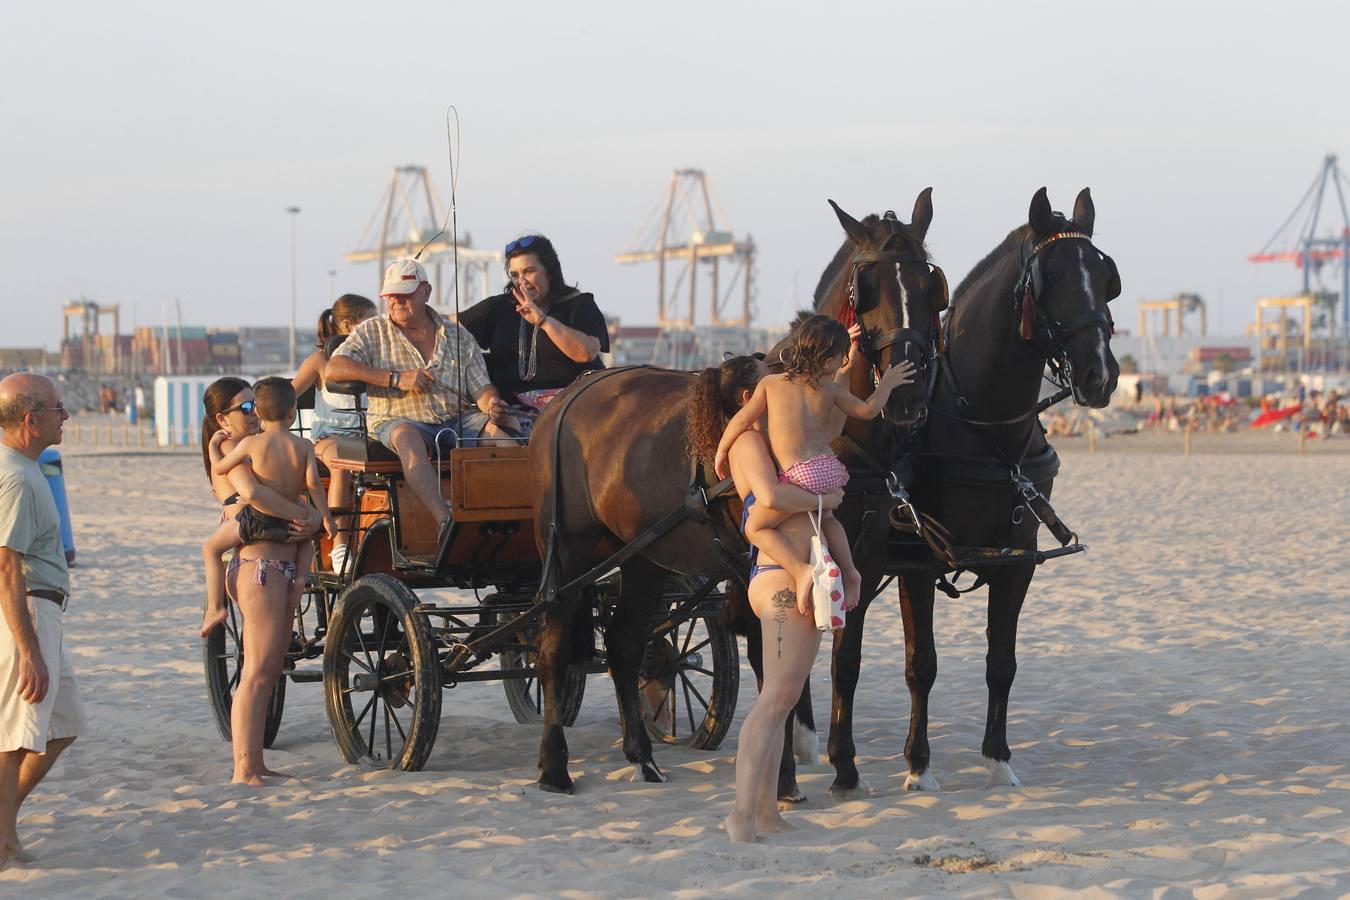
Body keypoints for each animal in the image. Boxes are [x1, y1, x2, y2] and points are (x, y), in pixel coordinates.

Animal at [526, 190, 950, 793]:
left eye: (928, 282)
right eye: (867, 285)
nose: (908, 394)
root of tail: (566, 398)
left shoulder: (860, 563)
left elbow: (843, 661)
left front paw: (843, 768)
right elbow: (775, 661)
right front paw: (784, 776)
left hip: (642, 556)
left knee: (625, 647)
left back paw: (641, 756)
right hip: (568, 550)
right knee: (553, 646)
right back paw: (554, 765)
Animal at [826, 184, 1123, 793]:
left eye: (1106, 278)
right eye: (1052, 278)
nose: (1100, 375)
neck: (983, 423)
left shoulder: (1019, 558)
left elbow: (1001, 663)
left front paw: (997, 756)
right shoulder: (917, 560)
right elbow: (922, 664)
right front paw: (918, 765)